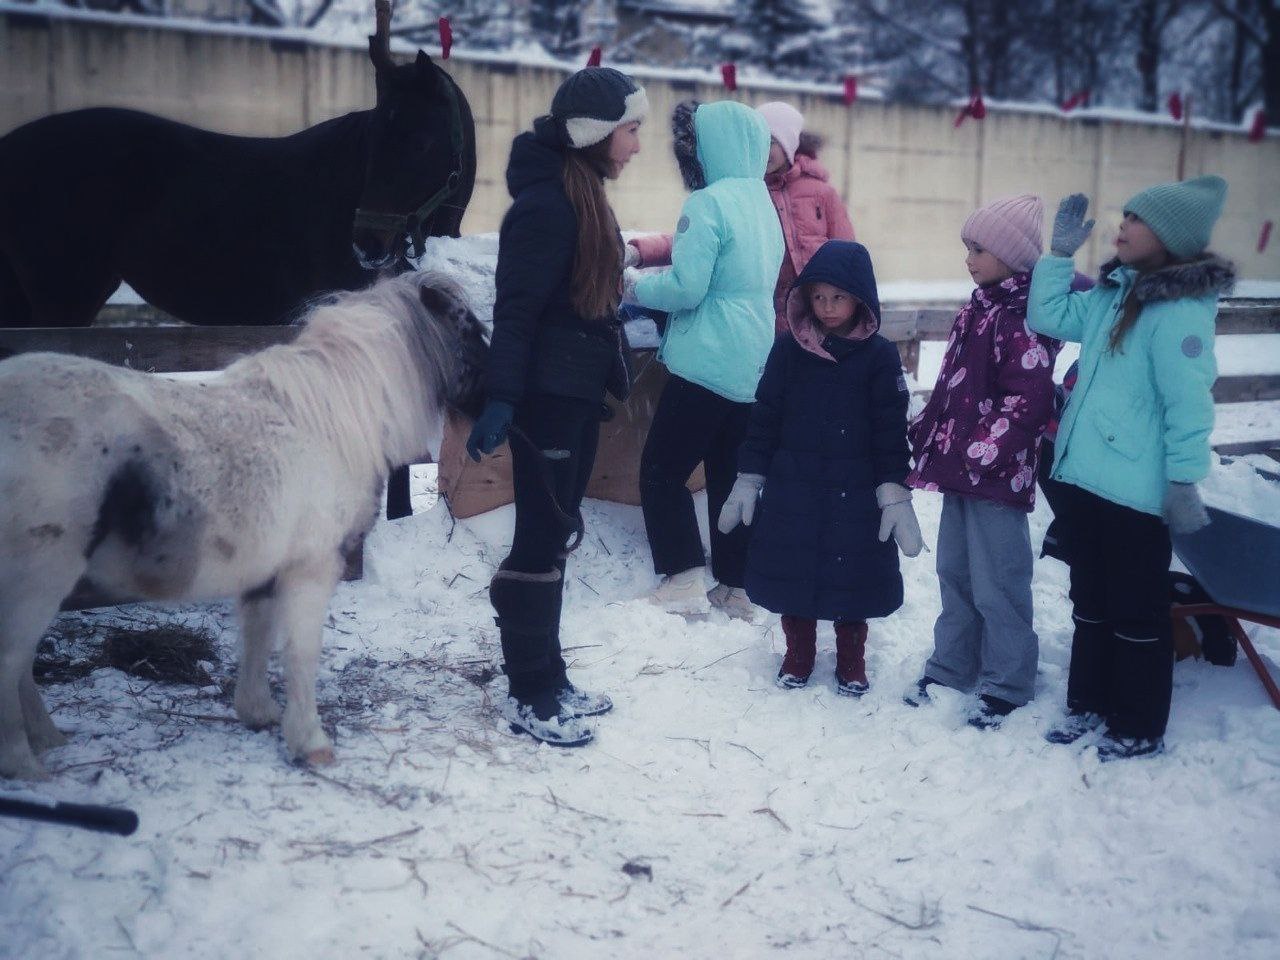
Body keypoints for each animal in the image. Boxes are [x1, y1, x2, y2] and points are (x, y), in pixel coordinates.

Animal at [0, 271, 486, 783]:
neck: (327, 421)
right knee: (11, 662)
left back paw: (48, 741)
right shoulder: (310, 570)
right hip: (38, 580)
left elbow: (258, 636)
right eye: (473, 333)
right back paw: (24, 765)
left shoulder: (266, 573)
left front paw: (258, 713)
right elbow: (300, 652)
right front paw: (310, 741)